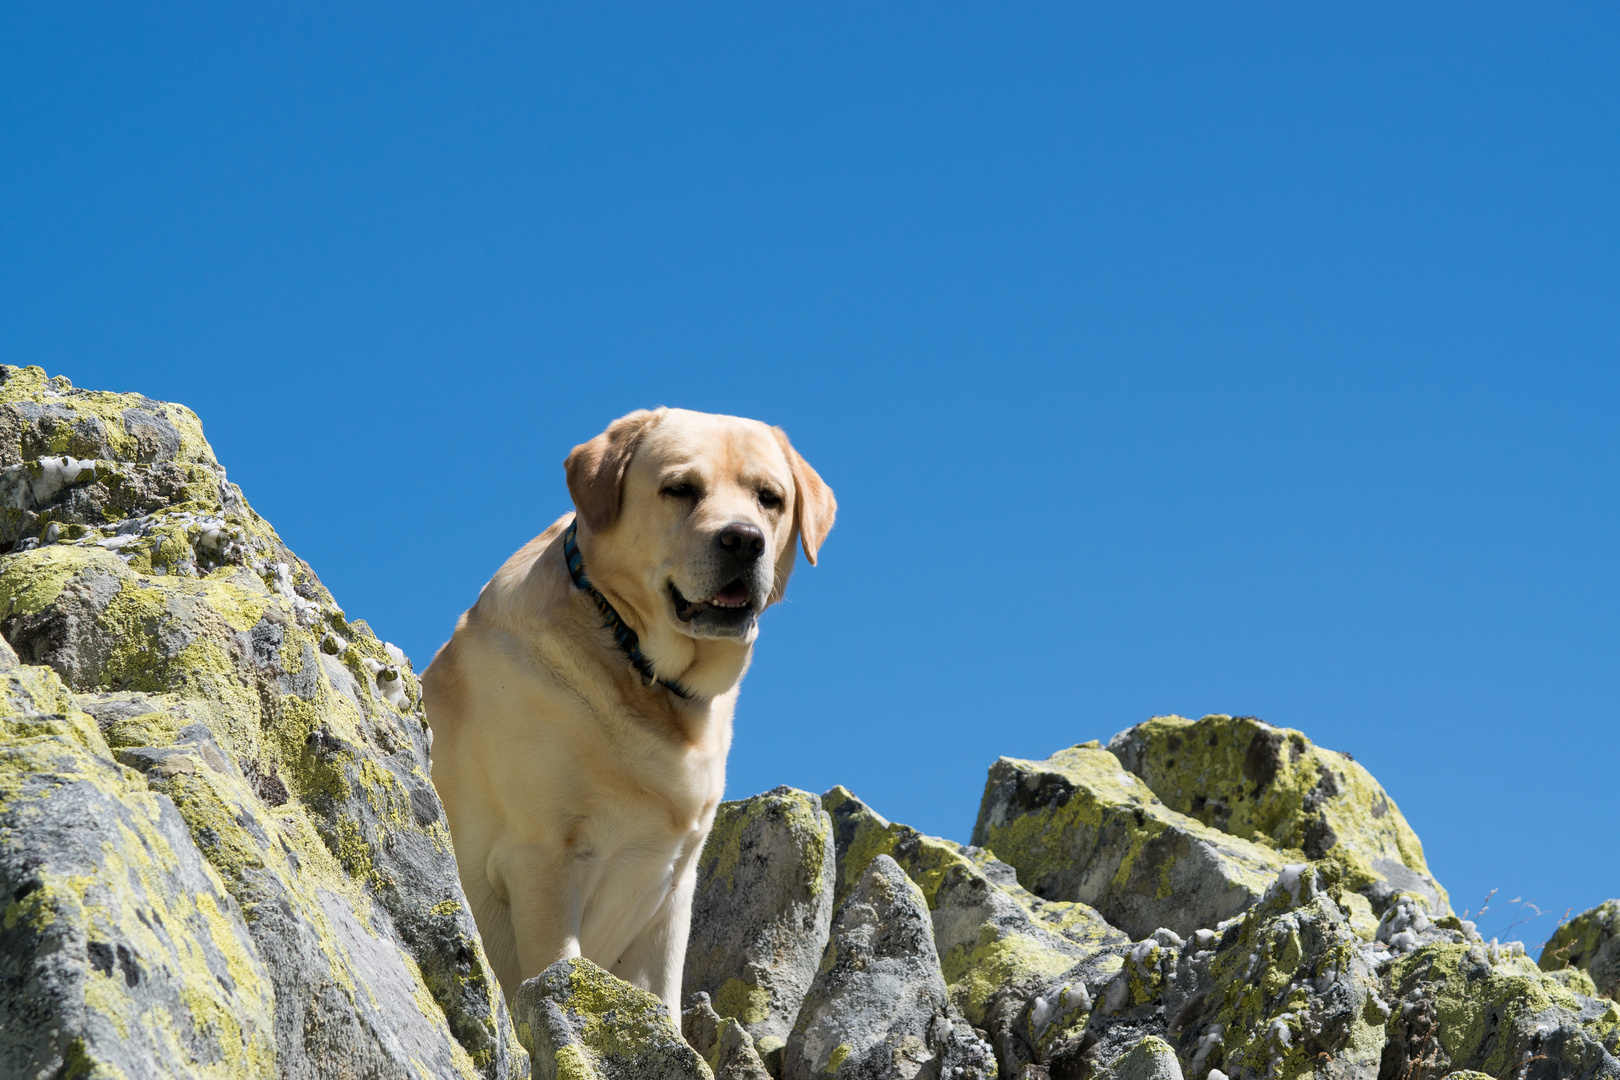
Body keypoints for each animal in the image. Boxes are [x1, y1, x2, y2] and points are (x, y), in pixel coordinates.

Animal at [421, 409, 835, 1016]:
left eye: (770, 498)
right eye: (679, 488)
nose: (743, 540)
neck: (632, 655)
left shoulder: (669, 896)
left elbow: (664, 1003)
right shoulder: (540, 863)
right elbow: (556, 974)